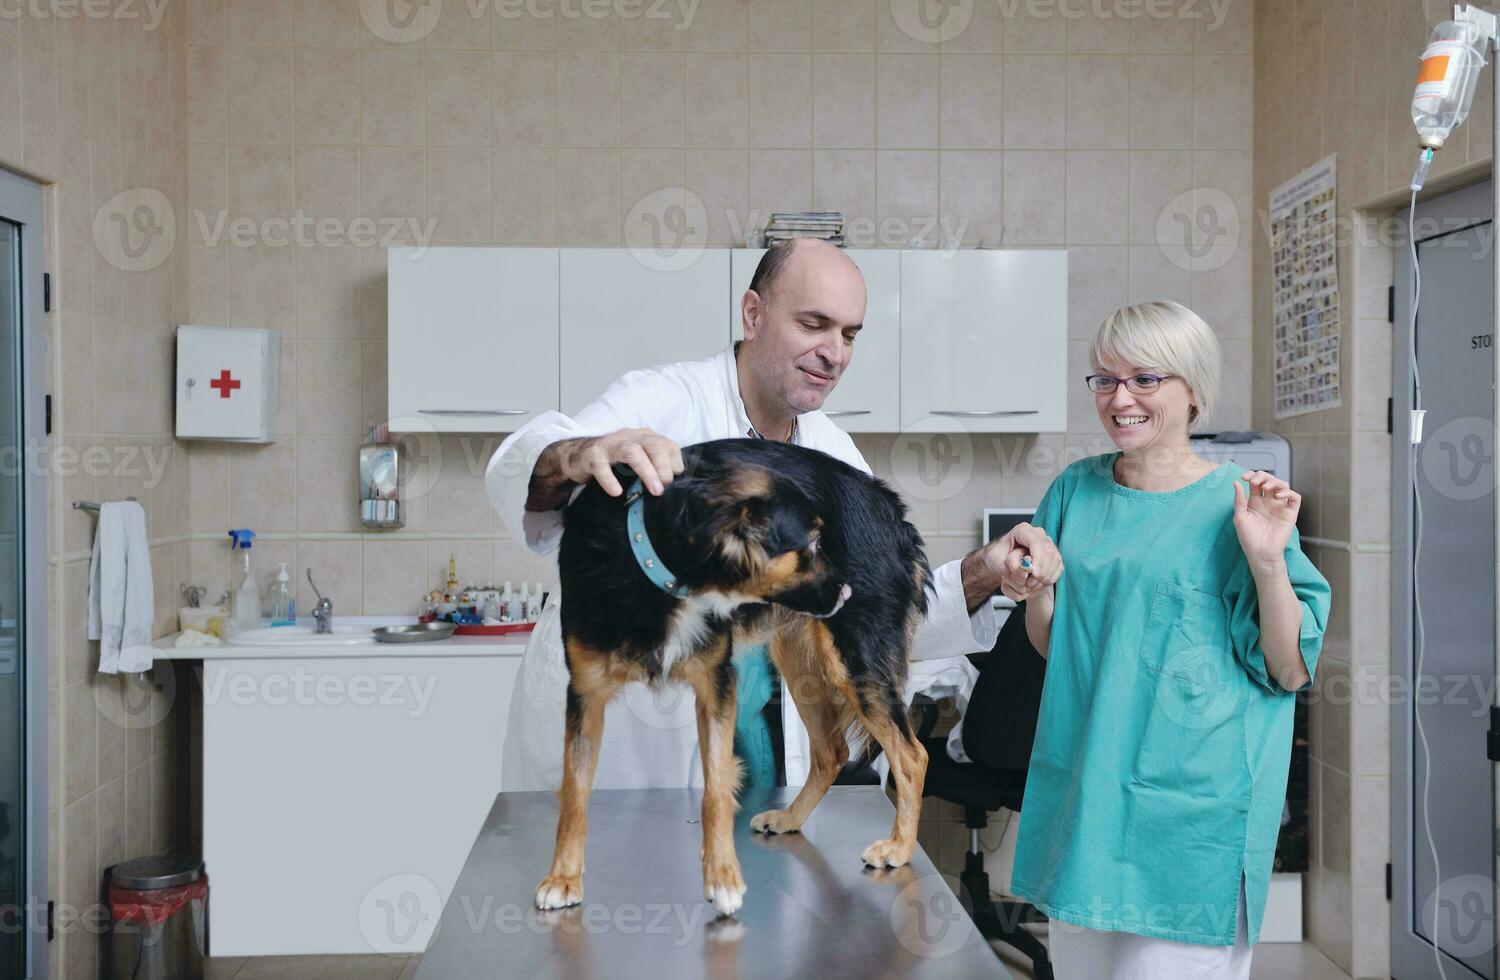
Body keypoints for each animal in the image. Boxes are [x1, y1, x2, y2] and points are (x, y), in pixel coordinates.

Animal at [537, 438, 936, 912]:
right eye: (812, 543)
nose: (846, 591)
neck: (650, 562)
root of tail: (894, 513)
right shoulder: (585, 694)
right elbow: (574, 792)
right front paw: (562, 877)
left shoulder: (716, 683)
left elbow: (715, 789)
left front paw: (722, 877)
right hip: (802, 662)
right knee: (831, 751)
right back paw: (791, 817)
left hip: (854, 661)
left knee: (912, 755)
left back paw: (899, 847)